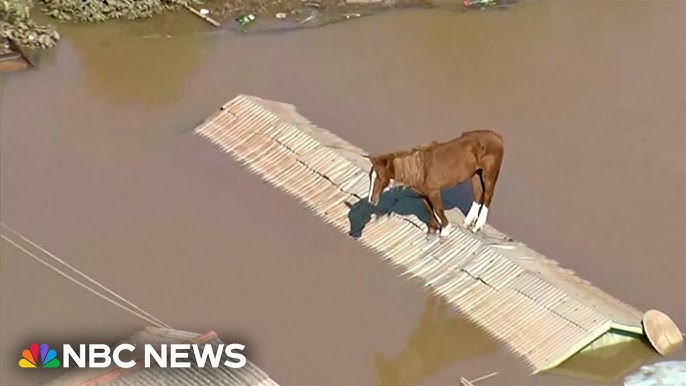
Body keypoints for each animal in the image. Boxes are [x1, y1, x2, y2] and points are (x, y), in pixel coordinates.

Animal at [366, 130, 506, 237]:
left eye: (379, 177)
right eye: (370, 176)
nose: (371, 201)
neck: (419, 168)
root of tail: (498, 137)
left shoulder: (434, 192)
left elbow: (438, 209)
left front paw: (445, 230)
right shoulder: (423, 194)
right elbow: (429, 210)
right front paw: (432, 230)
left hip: (489, 173)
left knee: (487, 195)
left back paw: (477, 226)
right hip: (475, 174)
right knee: (478, 193)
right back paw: (467, 222)